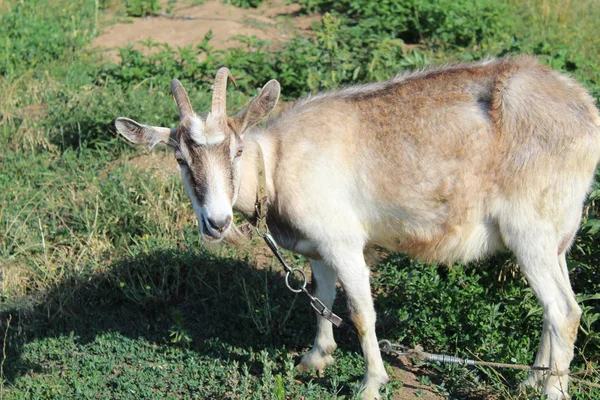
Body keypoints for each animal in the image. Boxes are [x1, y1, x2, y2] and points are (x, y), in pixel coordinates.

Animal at [116, 54, 600, 398]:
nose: (216, 222)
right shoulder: (318, 248)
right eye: (181, 159)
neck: (276, 163)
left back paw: (553, 391)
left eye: (236, 151)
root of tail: (585, 109)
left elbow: (362, 313)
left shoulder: (345, 243)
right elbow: (322, 300)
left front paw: (370, 384)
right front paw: (316, 358)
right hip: (556, 236)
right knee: (556, 306)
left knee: (564, 311)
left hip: (530, 229)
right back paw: (532, 380)